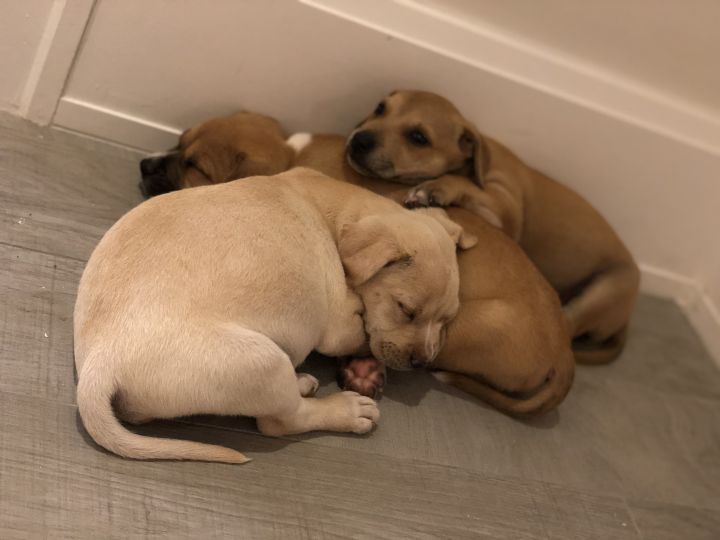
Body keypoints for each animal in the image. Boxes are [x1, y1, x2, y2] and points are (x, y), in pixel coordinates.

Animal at [76, 167, 470, 462]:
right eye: (406, 310)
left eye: (447, 319)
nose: (423, 363)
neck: (336, 211)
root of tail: (102, 361)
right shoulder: (339, 324)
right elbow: (360, 335)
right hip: (263, 361)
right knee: (281, 421)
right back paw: (346, 410)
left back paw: (304, 382)